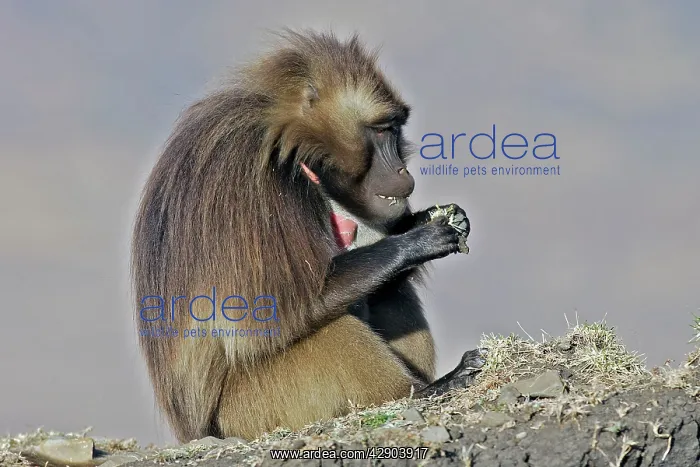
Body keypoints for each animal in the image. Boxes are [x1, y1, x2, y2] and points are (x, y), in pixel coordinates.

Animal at [131, 29, 487, 443]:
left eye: (397, 130)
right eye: (383, 130)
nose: (402, 170)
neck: (289, 141)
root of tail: (199, 432)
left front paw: (439, 218)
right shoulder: (250, 181)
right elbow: (277, 307)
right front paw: (419, 241)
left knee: (390, 292)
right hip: (253, 407)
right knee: (326, 323)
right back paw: (429, 388)